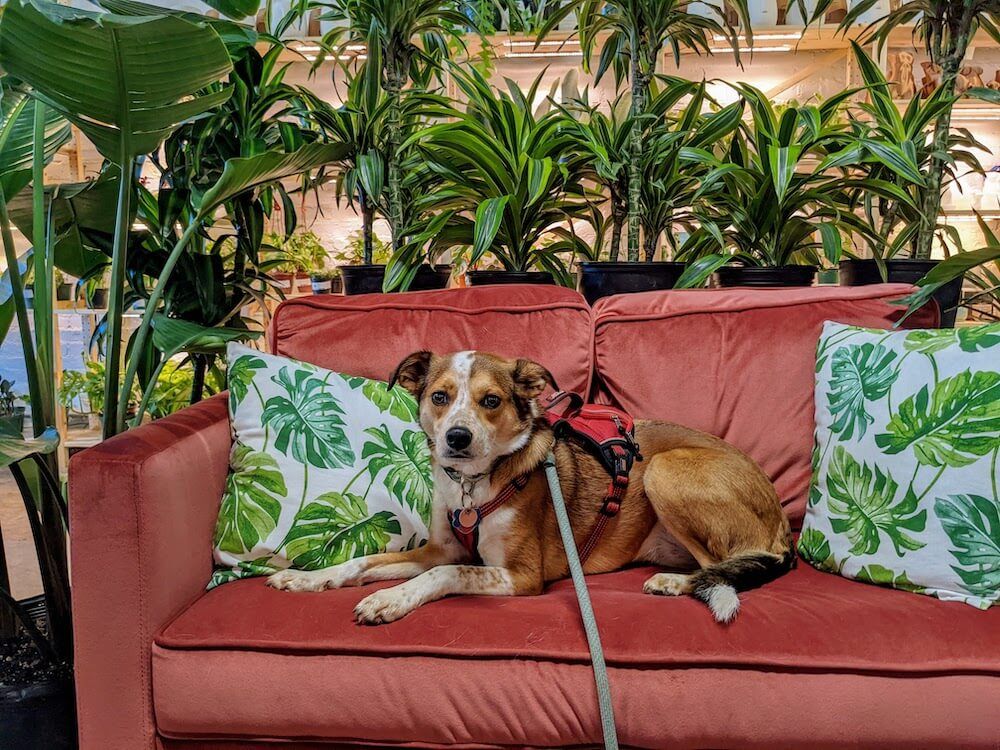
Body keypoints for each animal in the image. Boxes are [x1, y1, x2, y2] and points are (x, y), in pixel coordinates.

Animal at [268, 352, 796, 628]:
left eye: (491, 401)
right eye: (439, 397)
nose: (456, 438)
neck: (474, 486)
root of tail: (781, 526)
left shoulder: (520, 575)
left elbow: (443, 575)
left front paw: (390, 599)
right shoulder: (440, 547)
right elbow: (363, 562)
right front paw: (307, 578)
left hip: (663, 472)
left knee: (725, 569)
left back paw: (673, 583)